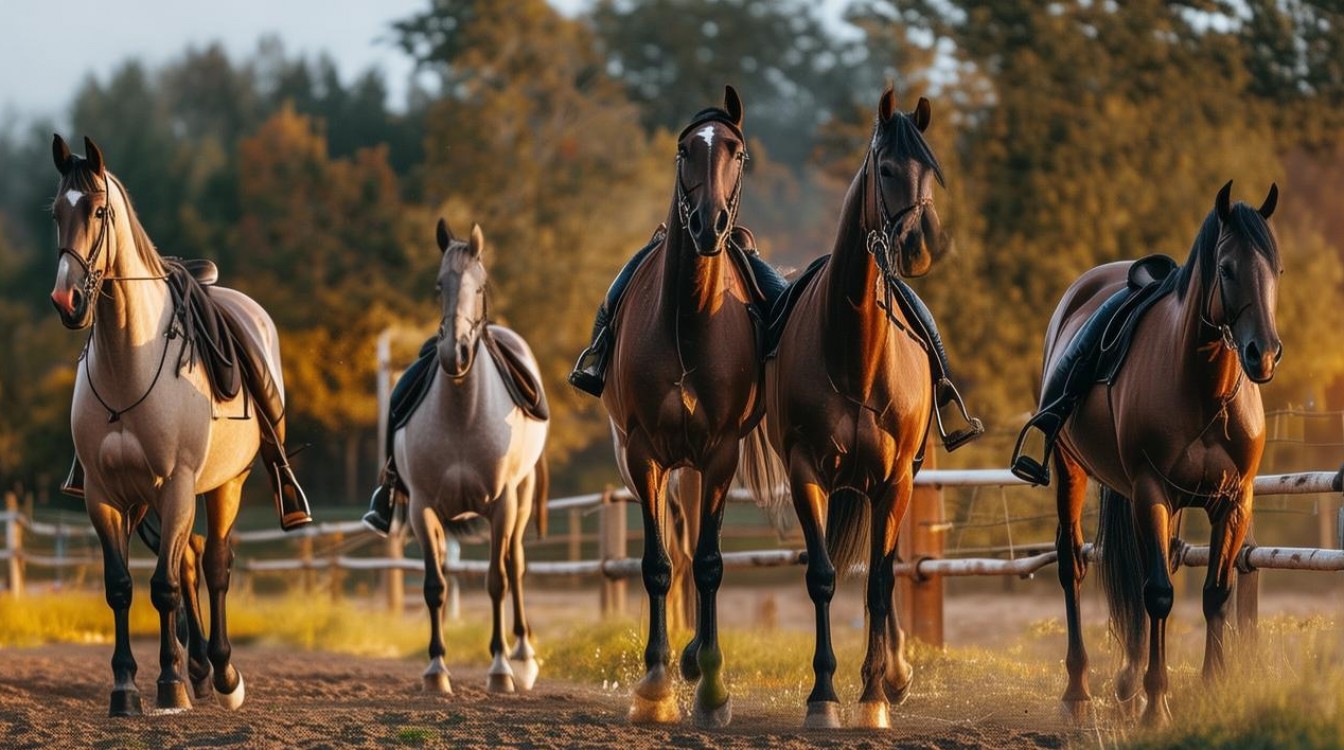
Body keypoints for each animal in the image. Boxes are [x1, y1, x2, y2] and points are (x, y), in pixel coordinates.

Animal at [49, 135, 272, 715]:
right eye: (57, 212)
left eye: (98, 210)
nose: (67, 300)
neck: (129, 365)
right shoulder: (104, 496)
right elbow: (122, 587)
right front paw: (125, 688)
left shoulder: (176, 483)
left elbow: (165, 587)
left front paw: (170, 684)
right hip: (152, 503)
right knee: (190, 561)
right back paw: (199, 669)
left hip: (223, 486)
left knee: (213, 564)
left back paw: (222, 673)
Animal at [400, 219, 549, 695]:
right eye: (438, 286)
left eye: (479, 286)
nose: (455, 353)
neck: (462, 414)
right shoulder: (423, 509)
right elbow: (435, 586)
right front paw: (436, 670)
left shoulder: (502, 504)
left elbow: (497, 581)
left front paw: (500, 669)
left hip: (522, 498)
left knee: (515, 564)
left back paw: (522, 655)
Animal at [603, 85, 769, 728]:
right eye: (684, 151)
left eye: (737, 153)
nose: (708, 224)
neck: (687, 321)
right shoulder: (644, 454)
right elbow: (657, 564)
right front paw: (654, 687)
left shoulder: (720, 454)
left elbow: (709, 562)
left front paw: (713, 692)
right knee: (677, 551)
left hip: (702, 468)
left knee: (698, 546)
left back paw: (699, 659)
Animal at [746, 87, 948, 730]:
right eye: (885, 169)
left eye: (930, 171)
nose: (919, 245)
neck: (855, 352)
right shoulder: (807, 473)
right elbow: (823, 577)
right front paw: (824, 696)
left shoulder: (894, 479)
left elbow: (881, 581)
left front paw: (876, 694)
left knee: (885, 571)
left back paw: (894, 673)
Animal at [1047, 181, 1281, 725]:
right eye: (1226, 268)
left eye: (1275, 269)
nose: (1263, 355)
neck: (1203, 392)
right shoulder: (1150, 491)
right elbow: (1157, 594)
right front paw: (1157, 704)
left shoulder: (1233, 502)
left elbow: (1215, 595)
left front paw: (1212, 689)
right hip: (1072, 471)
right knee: (1072, 567)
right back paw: (1078, 691)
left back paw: (1126, 684)